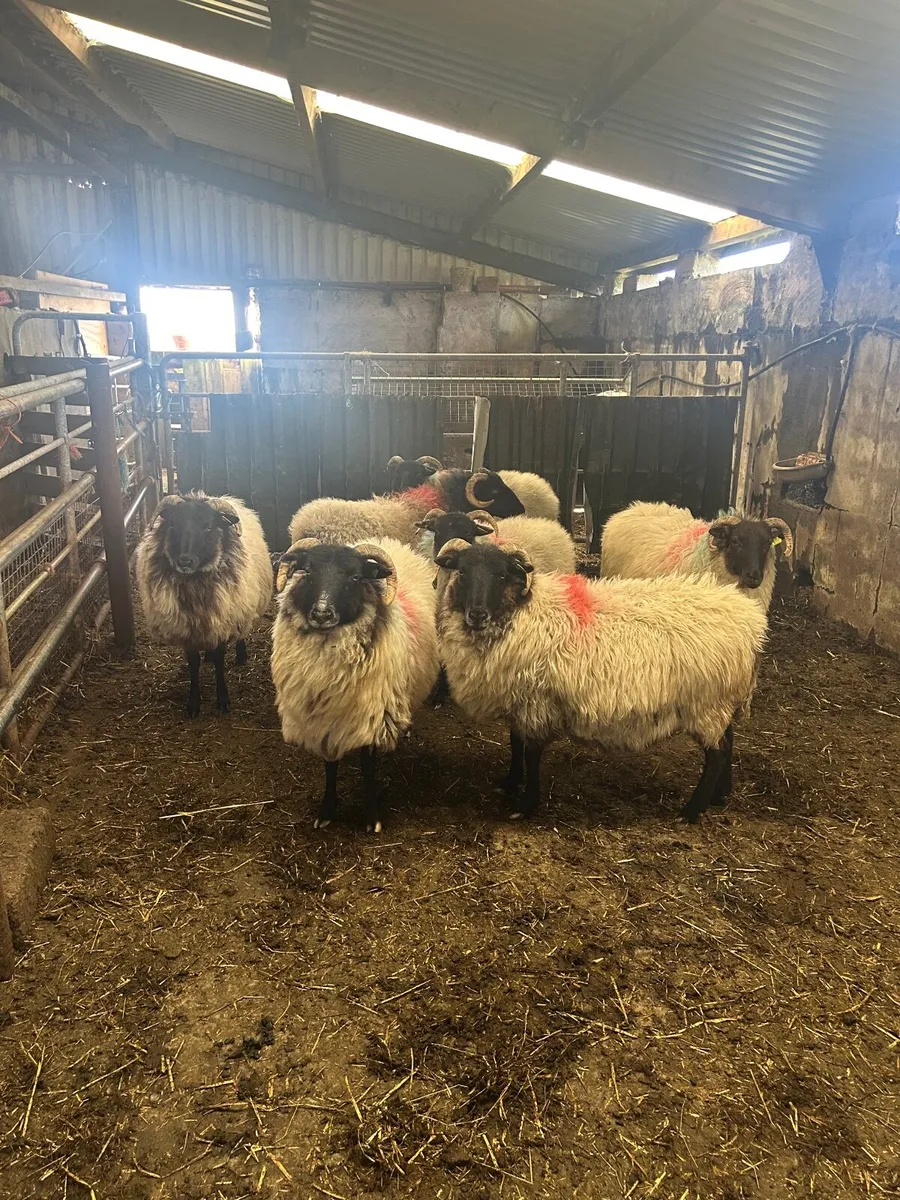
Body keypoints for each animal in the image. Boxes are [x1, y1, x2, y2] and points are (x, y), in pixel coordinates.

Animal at [136, 493, 272, 717]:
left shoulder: (224, 622)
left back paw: (241, 655)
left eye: (208, 526)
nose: (185, 561)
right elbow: (194, 664)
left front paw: (223, 700)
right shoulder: (188, 630)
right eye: (172, 523)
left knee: (241, 632)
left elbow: (219, 661)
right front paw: (193, 703)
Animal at [271, 537, 440, 833]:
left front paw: (372, 817)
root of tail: (390, 542)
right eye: (308, 571)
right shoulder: (322, 718)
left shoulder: (375, 715)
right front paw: (327, 811)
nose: (322, 614)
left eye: (355, 577)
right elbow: (330, 765)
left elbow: (368, 767)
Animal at [435, 539, 767, 823]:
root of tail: (749, 619)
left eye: (502, 574)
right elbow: (515, 744)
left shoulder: (536, 704)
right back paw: (720, 795)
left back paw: (692, 810)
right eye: (462, 571)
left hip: (707, 702)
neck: (521, 613)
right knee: (729, 739)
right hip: (721, 700)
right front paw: (509, 782)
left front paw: (526, 804)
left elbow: (531, 754)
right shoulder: (520, 701)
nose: (477, 614)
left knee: (717, 753)